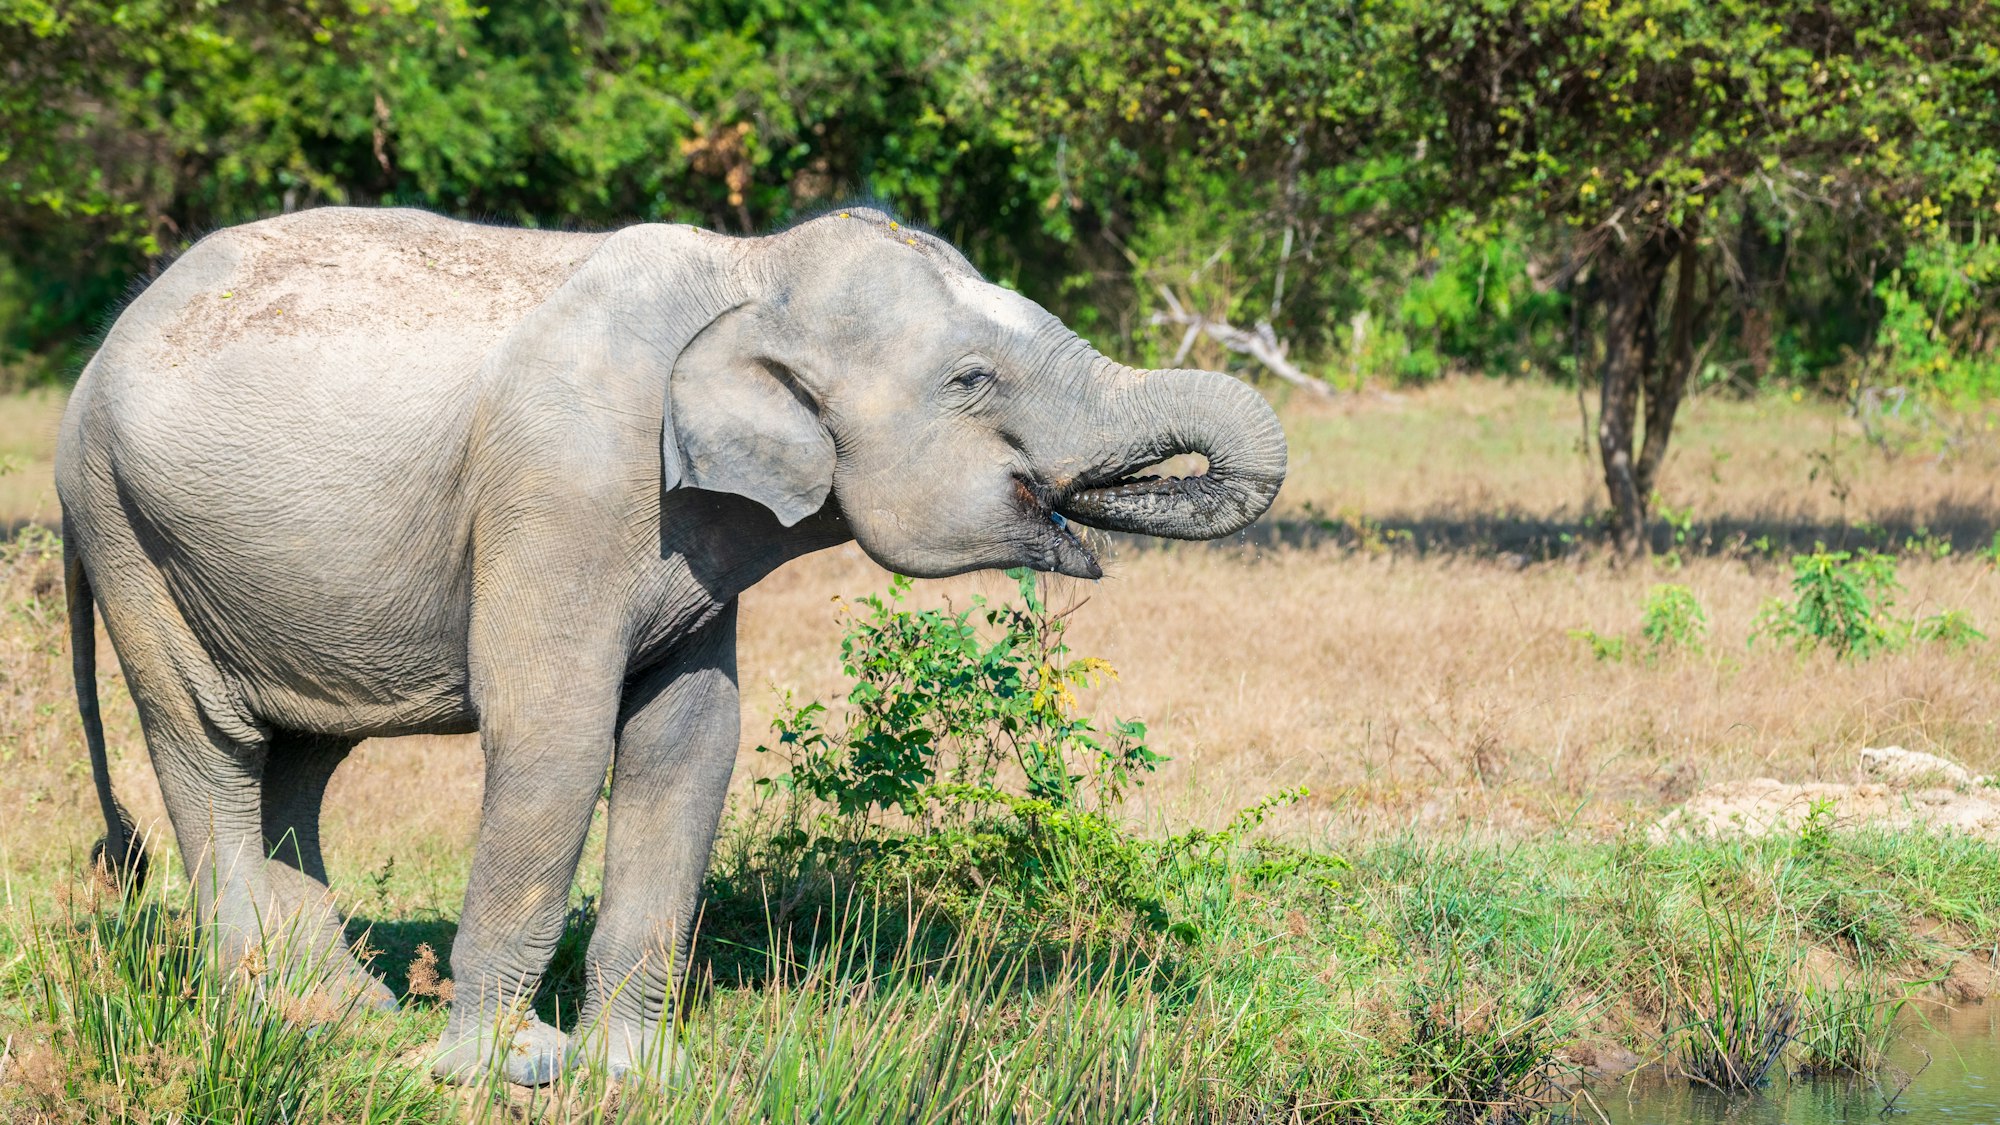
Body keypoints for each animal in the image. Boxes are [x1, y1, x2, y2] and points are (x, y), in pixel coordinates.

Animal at [54, 206, 1288, 1080]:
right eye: (971, 380)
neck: (748, 272)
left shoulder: (694, 529)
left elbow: (689, 741)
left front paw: (639, 1072)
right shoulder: (566, 489)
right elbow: (552, 737)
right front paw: (504, 1071)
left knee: (300, 759)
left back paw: (343, 1009)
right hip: (131, 538)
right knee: (210, 745)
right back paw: (269, 1012)